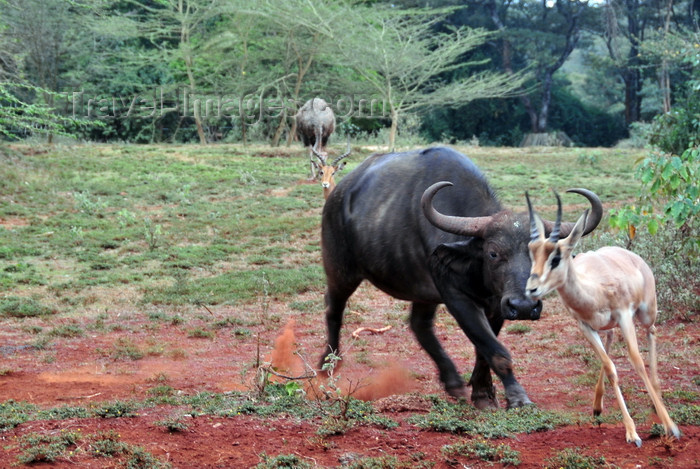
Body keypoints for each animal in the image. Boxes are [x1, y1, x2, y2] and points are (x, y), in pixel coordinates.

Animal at [320, 146, 600, 406]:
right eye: (493, 253)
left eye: (549, 256)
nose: (523, 306)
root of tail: (338, 196)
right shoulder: (457, 298)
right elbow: (495, 350)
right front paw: (516, 396)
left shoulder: (497, 304)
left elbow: (484, 349)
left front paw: (483, 392)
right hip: (340, 271)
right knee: (334, 310)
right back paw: (328, 363)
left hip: (423, 293)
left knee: (420, 325)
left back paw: (452, 381)